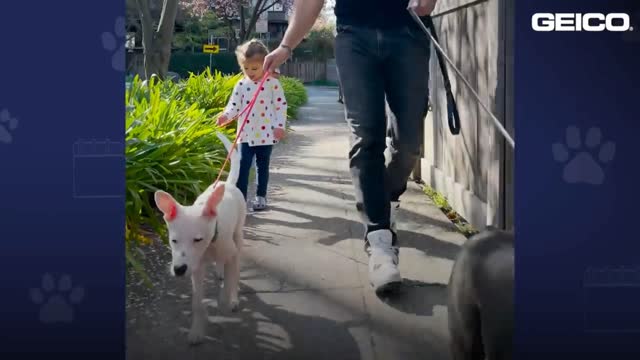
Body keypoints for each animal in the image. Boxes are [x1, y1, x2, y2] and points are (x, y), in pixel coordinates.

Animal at [154, 132, 246, 346]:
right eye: (173, 241)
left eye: (197, 240)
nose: (179, 270)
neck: (210, 244)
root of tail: (227, 183)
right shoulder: (196, 269)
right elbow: (197, 303)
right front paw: (196, 331)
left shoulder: (230, 254)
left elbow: (231, 280)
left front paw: (226, 299)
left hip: (238, 235)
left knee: (235, 268)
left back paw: (232, 296)